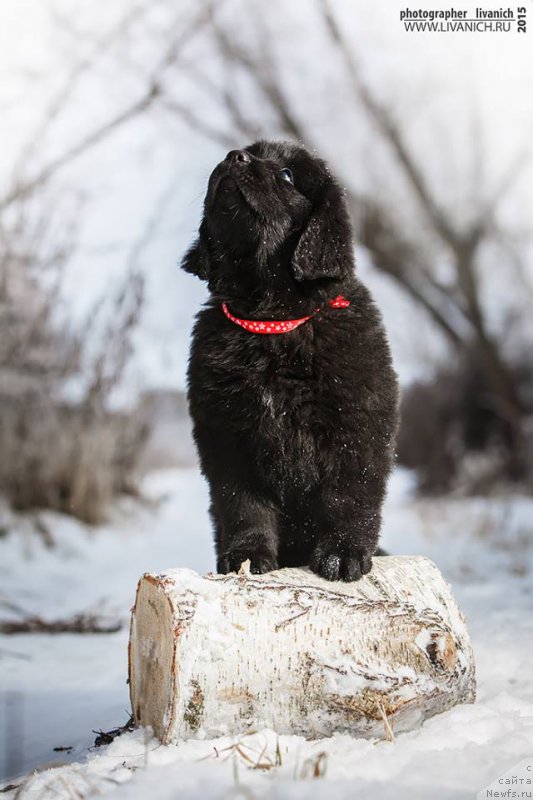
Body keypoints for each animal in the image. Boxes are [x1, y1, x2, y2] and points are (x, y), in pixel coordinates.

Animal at [181, 142, 396, 580]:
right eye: (247, 152)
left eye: (287, 175)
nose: (233, 156)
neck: (271, 324)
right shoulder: (228, 435)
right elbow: (243, 506)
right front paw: (246, 557)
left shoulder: (356, 426)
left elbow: (350, 496)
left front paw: (343, 554)